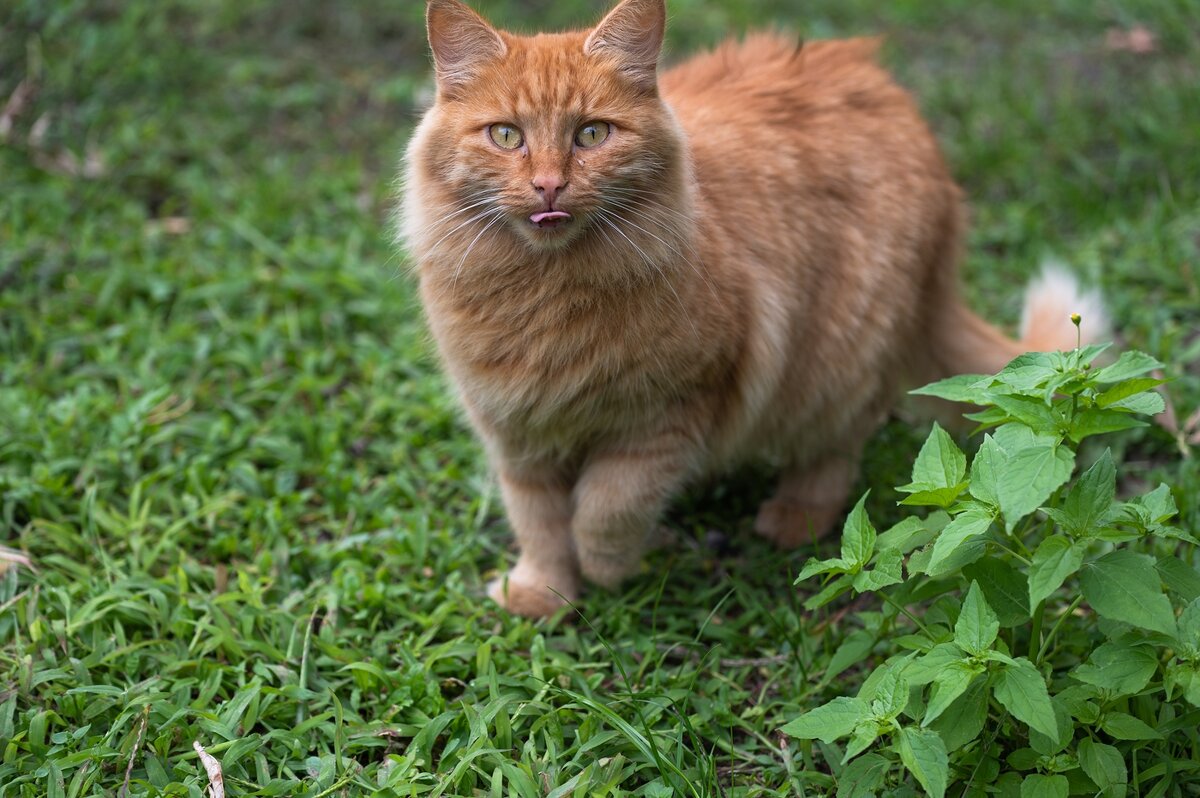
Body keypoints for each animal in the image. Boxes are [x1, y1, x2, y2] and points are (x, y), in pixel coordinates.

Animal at [398, 0, 1099, 614]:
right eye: (506, 135)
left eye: (591, 133)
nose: (548, 184)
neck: (543, 297)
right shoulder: (514, 430)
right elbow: (538, 522)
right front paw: (544, 594)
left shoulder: (671, 412)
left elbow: (606, 505)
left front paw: (606, 568)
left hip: (840, 361)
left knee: (840, 448)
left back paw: (794, 518)